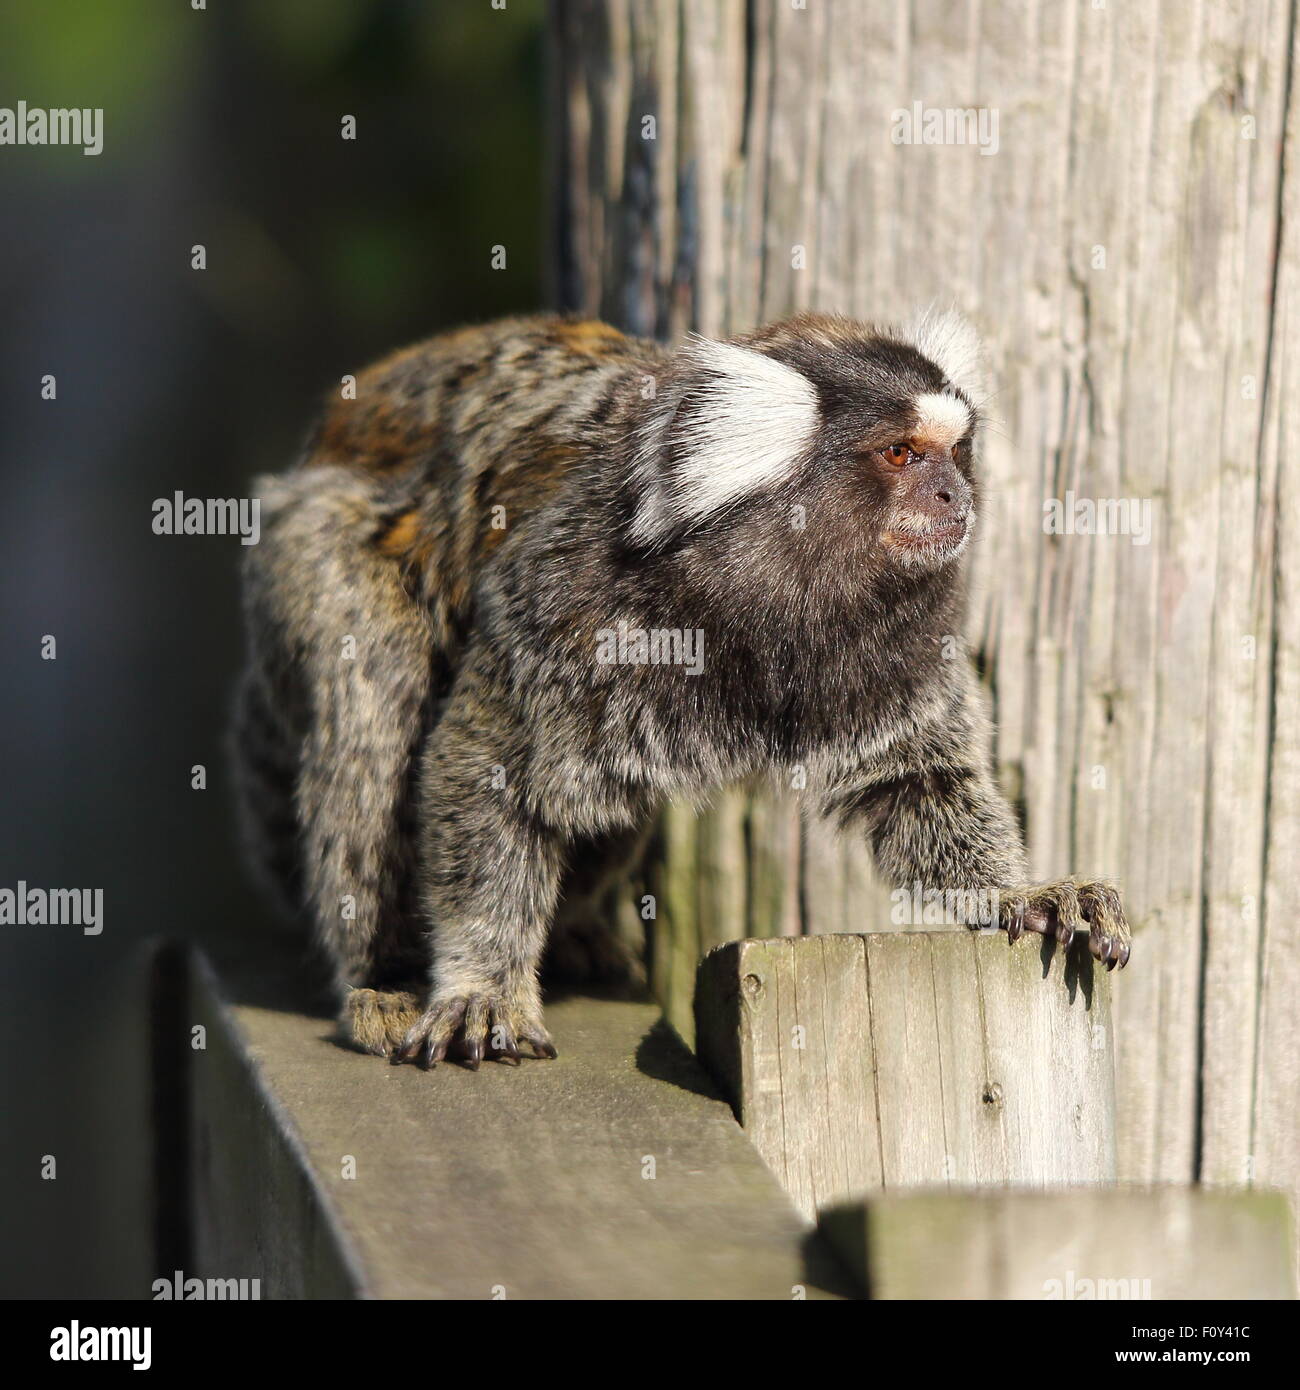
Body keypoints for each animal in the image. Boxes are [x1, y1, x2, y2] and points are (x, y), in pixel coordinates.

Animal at [233, 315, 1128, 1067]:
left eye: (956, 451)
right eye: (903, 454)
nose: (955, 495)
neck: (776, 589)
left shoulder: (907, 641)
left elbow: (917, 778)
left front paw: (1024, 894)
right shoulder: (573, 595)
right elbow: (486, 768)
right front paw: (482, 983)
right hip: (310, 552)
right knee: (372, 709)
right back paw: (378, 978)